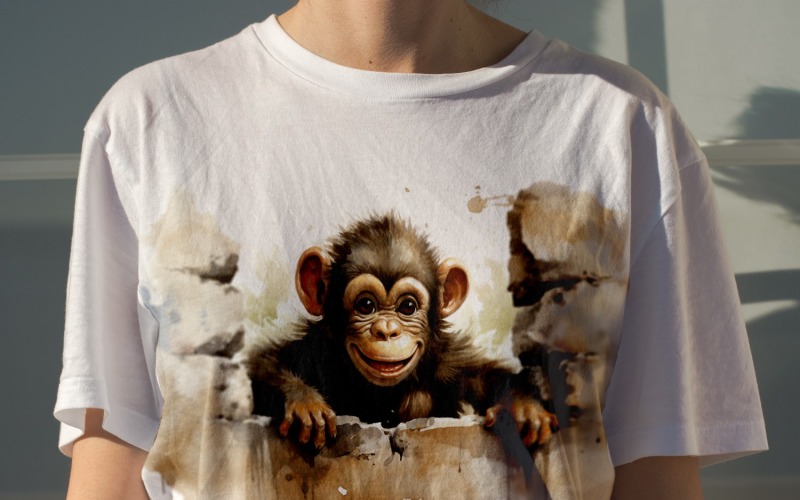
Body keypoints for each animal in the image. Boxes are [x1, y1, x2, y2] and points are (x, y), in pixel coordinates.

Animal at [247, 214, 558, 450]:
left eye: (407, 307)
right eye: (366, 305)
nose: (387, 330)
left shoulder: (450, 360)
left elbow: (485, 376)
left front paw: (524, 408)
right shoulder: (314, 348)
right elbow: (259, 367)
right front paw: (303, 402)